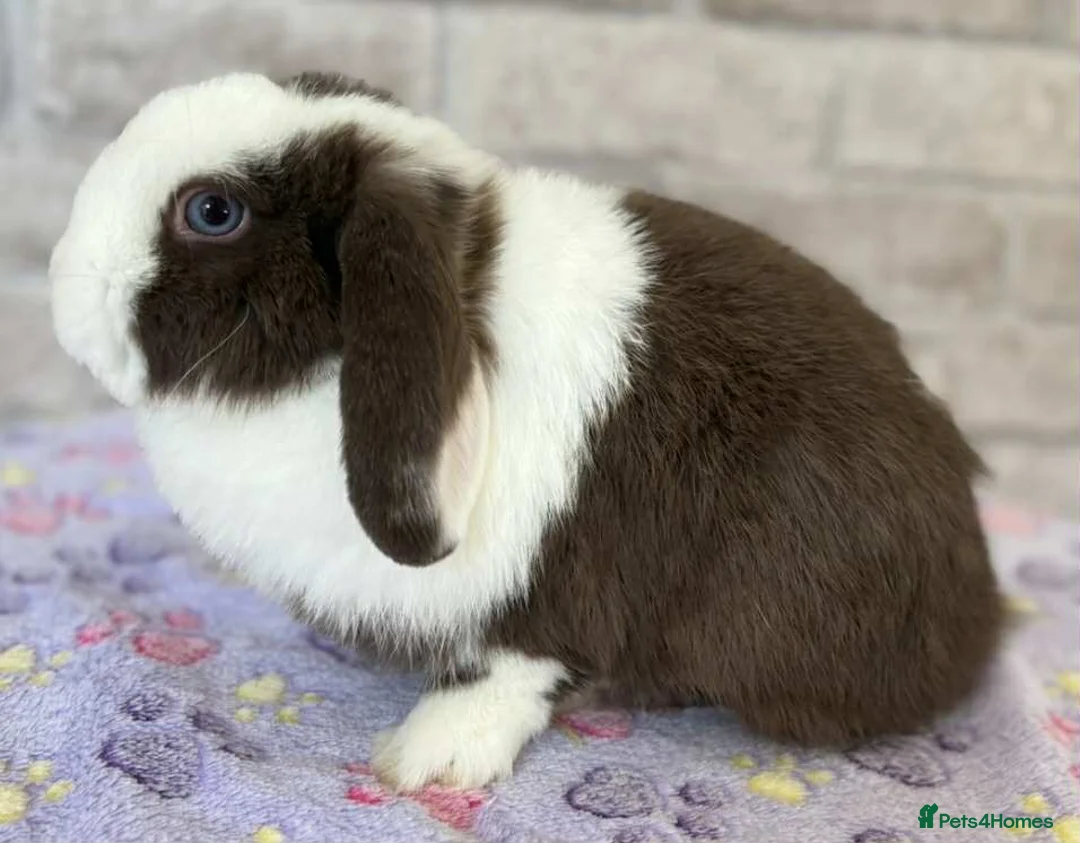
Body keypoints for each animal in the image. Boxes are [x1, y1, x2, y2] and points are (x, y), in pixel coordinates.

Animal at [50, 71, 1003, 791]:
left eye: (213, 212)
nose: (63, 284)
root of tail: (978, 607)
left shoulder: (540, 598)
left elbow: (510, 666)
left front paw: (427, 760)